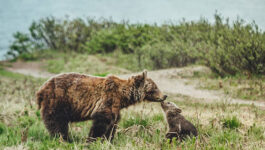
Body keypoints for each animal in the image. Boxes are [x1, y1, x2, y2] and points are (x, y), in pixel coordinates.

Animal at [36, 71, 166, 142]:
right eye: (155, 87)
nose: (164, 95)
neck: (122, 96)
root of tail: (41, 90)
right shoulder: (107, 100)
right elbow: (101, 122)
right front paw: (92, 140)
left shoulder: (116, 107)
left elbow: (113, 124)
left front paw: (109, 140)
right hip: (58, 100)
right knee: (57, 123)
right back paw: (64, 139)